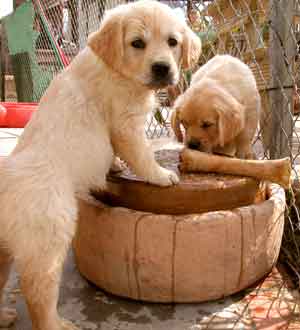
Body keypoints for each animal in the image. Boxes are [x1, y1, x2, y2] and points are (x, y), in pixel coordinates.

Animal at [0, 1, 202, 328]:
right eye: (137, 43)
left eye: (173, 42)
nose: (162, 68)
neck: (116, 69)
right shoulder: (125, 124)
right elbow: (141, 155)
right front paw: (160, 175)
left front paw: (116, 165)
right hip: (49, 238)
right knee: (37, 293)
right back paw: (55, 324)